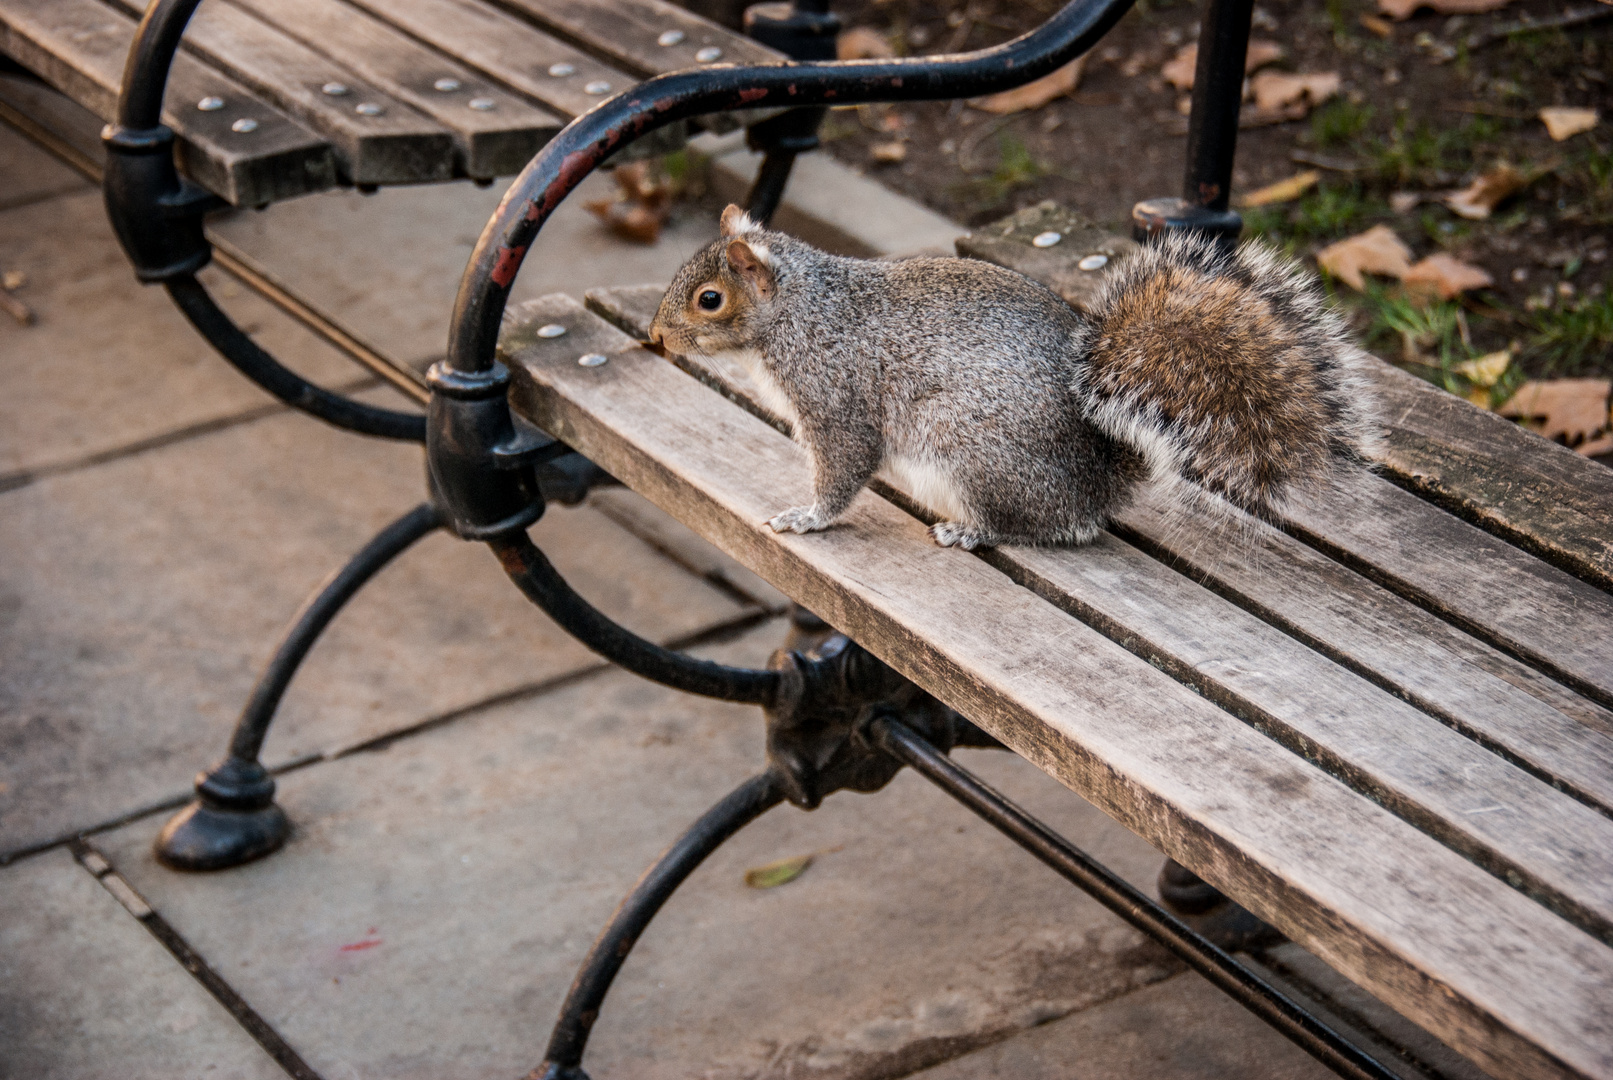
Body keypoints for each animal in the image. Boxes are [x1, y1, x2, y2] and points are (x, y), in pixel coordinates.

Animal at [648, 205, 1380, 551]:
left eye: (709, 299)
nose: (656, 336)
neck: (799, 312)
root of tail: (1100, 476)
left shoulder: (835, 398)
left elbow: (844, 469)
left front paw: (806, 518)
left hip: (970, 452)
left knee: (1051, 527)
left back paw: (971, 530)